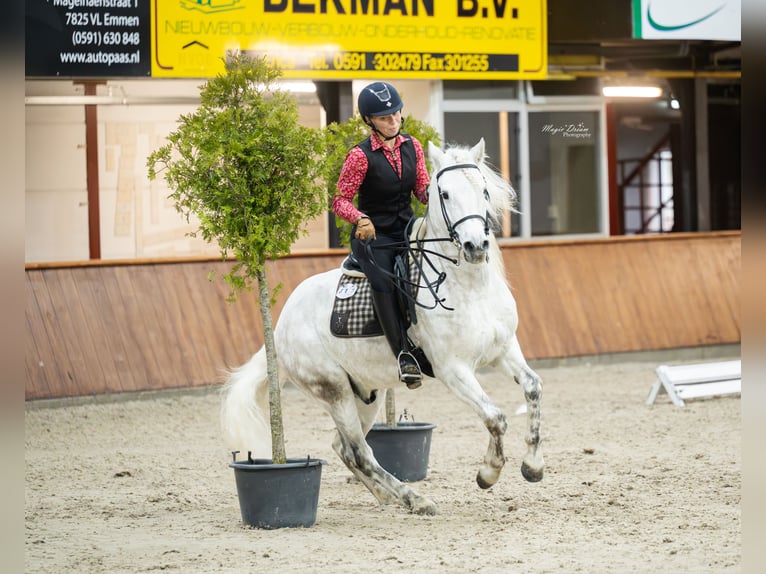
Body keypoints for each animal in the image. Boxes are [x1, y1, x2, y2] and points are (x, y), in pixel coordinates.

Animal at [221, 138, 544, 516]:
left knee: (344, 448)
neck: (468, 286)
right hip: (334, 392)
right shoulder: (453, 370)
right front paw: (488, 473)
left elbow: (533, 388)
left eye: (484, 191)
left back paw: (388, 496)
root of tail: (280, 327)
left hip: (364, 394)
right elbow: (496, 417)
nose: (475, 246)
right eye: (444, 194)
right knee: (359, 452)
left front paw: (533, 466)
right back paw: (415, 498)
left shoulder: (504, 349)